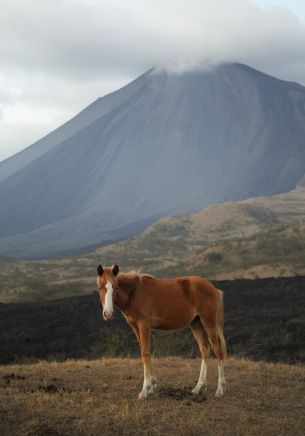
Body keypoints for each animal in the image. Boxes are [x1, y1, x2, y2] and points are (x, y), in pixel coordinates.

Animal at [95, 264, 226, 400]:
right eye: (100, 287)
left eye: (115, 287)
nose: (108, 314)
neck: (134, 293)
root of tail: (214, 289)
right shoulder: (135, 327)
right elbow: (146, 352)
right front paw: (152, 385)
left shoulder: (144, 326)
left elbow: (145, 353)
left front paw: (145, 390)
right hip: (196, 323)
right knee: (205, 349)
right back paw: (198, 387)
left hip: (209, 323)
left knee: (218, 350)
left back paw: (220, 389)